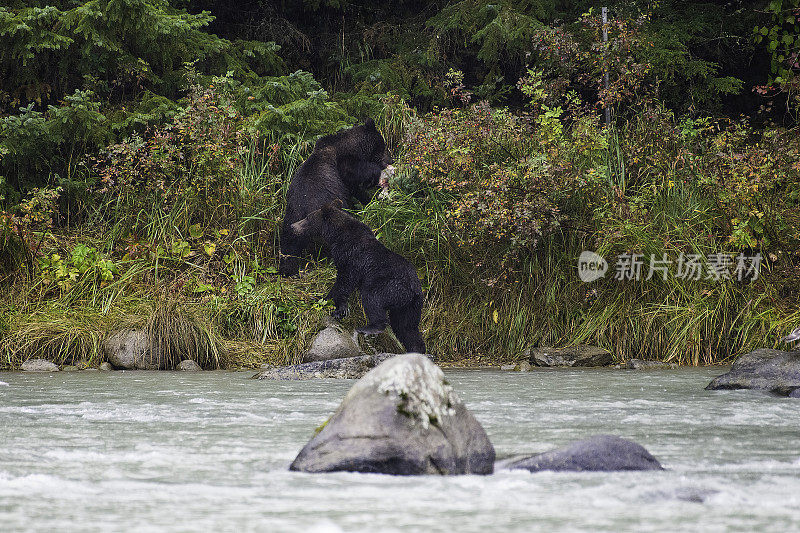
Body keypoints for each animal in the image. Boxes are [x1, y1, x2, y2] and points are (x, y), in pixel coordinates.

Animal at [278, 118, 394, 276]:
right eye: (383, 145)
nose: (391, 160)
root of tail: (305, 210)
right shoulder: (343, 163)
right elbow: (357, 173)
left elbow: (356, 191)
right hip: (328, 210)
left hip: (292, 216)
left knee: (289, 241)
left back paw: (287, 267)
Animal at [290, 200, 428, 354]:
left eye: (307, 218)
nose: (293, 226)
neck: (337, 236)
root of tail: (413, 289)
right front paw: (340, 309)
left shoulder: (351, 256)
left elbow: (345, 281)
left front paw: (326, 300)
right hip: (410, 306)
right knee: (406, 327)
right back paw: (416, 349)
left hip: (389, 286)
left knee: (372, 299)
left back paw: (369, 327)